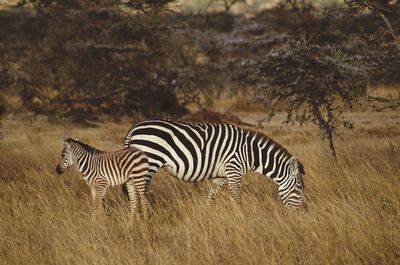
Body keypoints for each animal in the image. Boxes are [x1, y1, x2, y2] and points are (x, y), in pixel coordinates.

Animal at [123, 118, 304, 207]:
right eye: (299, 189)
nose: (303, 212)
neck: (250, 153)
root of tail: (134, 127)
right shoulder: (234, 170)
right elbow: (236, 199)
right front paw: (241, 219)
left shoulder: (222, 176)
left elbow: (211, 197)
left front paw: (206, 216)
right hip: (149, 162)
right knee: (140, 192)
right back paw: (146, 219)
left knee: (132, 192)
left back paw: (134, 222)